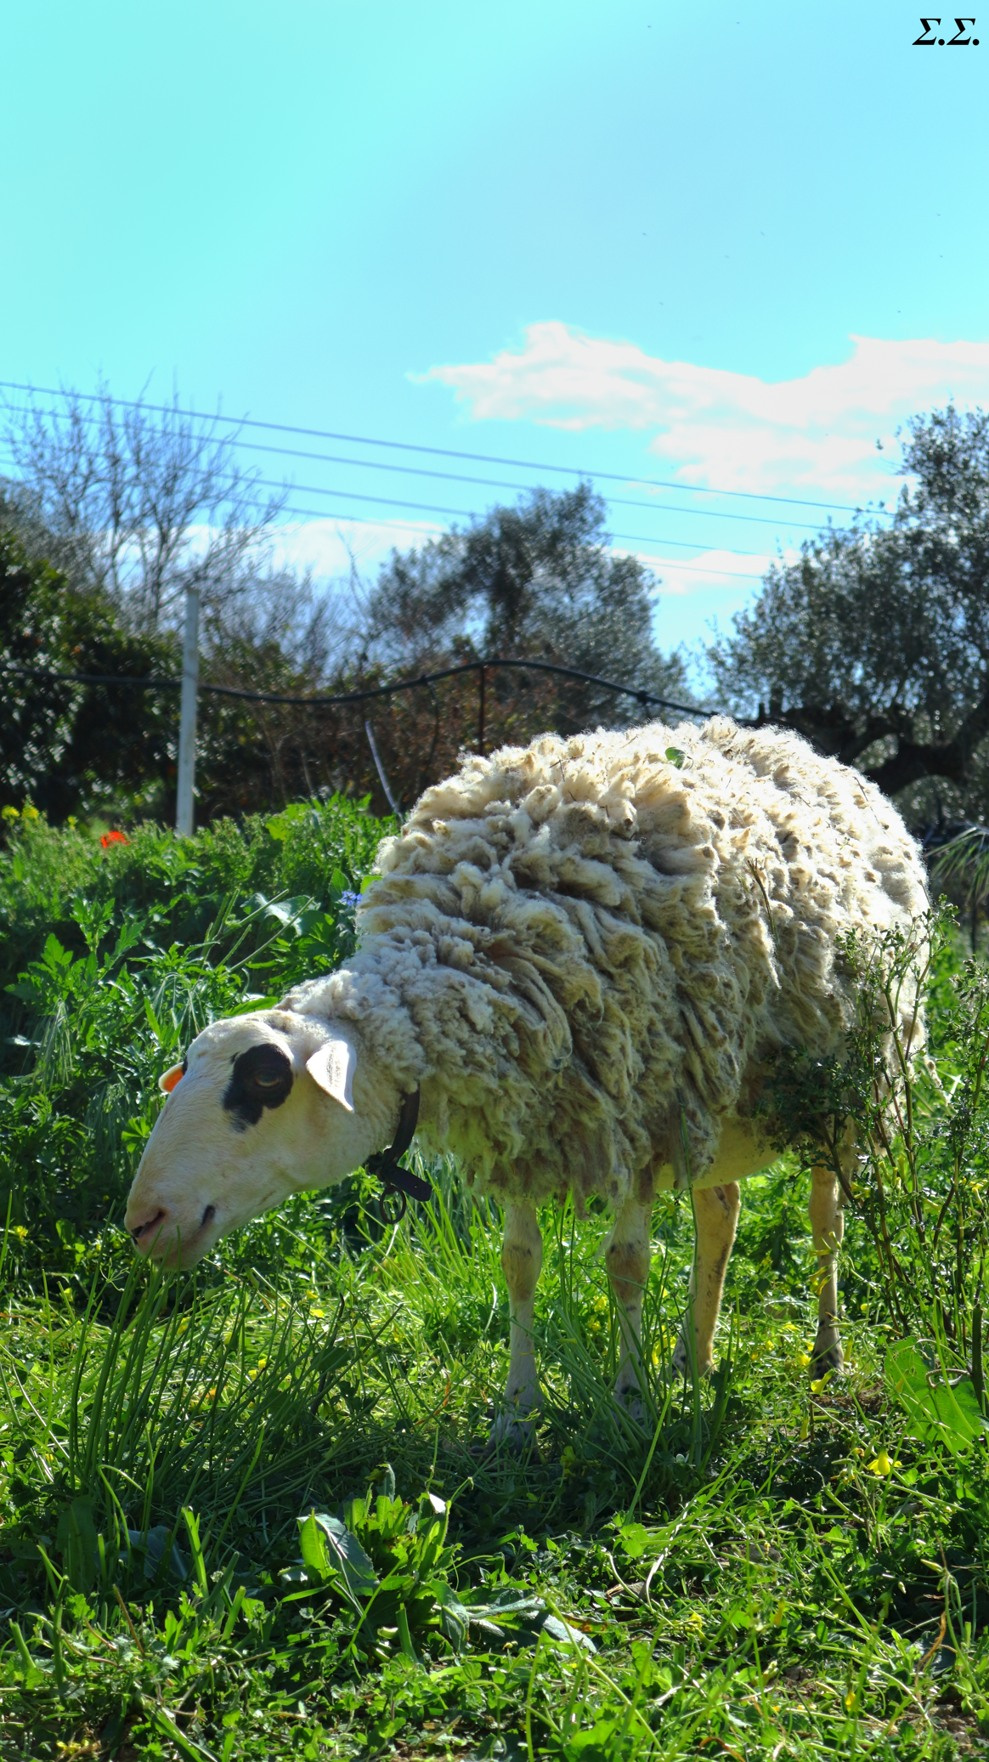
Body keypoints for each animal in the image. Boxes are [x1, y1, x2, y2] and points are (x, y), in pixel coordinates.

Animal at [125, 716, 929, 1438]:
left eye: (265, 1084)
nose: (143, 1222)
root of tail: (810, 753)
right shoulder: (523, 1114)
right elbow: (518, 1263)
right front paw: (516, 1414)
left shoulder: (639, 1109)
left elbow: (626, 1264)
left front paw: (629, 1404)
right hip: (713, 1109)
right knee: (721, 1210)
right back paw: (694, 1361)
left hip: (847, 1089)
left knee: (825, 1220)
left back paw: (824, 1356)